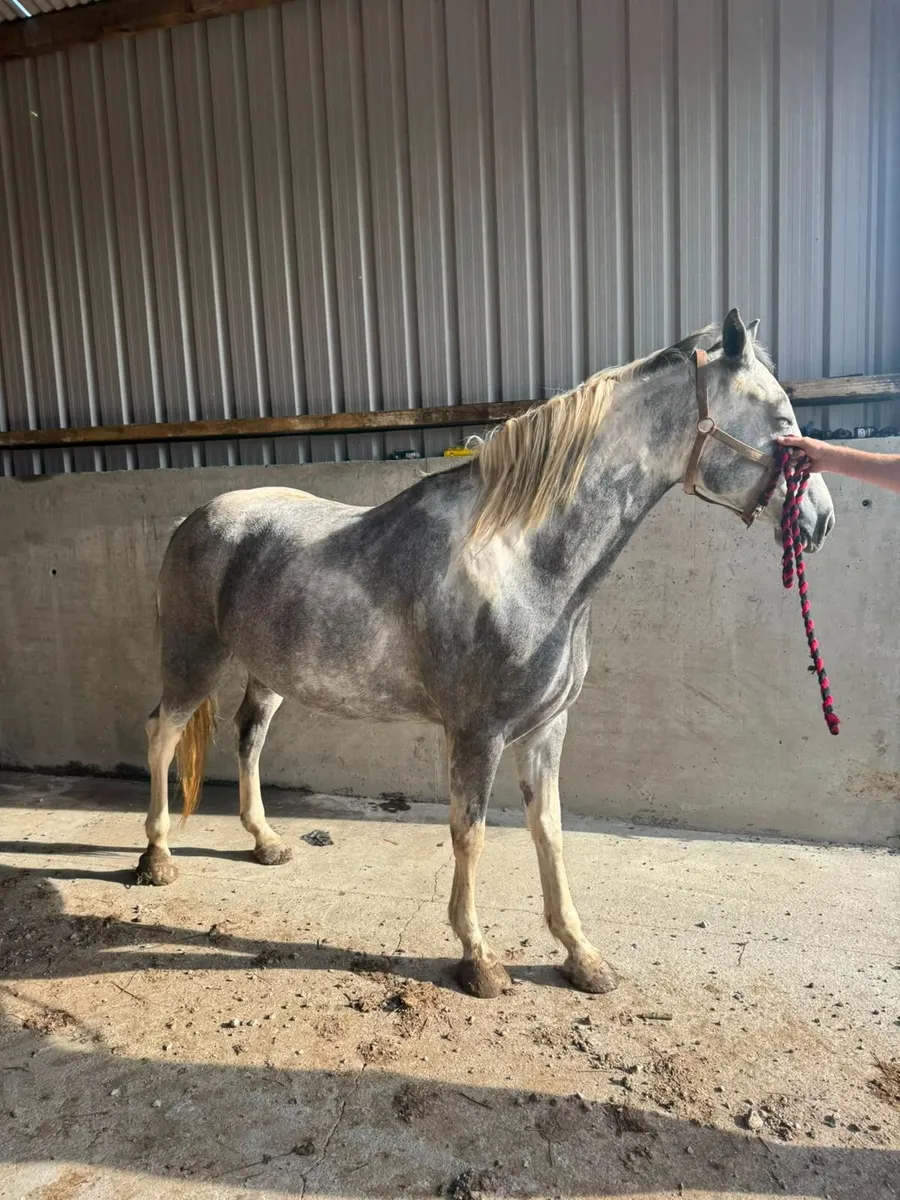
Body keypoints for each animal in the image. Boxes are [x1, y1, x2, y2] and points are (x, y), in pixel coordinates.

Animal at [137, 309, 835, 999]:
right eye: (782, 421)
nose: (821, 520)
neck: (518, 558)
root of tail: (194, 519)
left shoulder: (546, 728)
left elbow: (550, 832)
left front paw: (581, 955)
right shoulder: (479, 732)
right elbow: (468, 834)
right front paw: (480, 959)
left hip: (270, 672)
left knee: (248, 737)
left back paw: (264, 841)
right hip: (193, 661)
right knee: (162, 735)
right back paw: (157, 857)